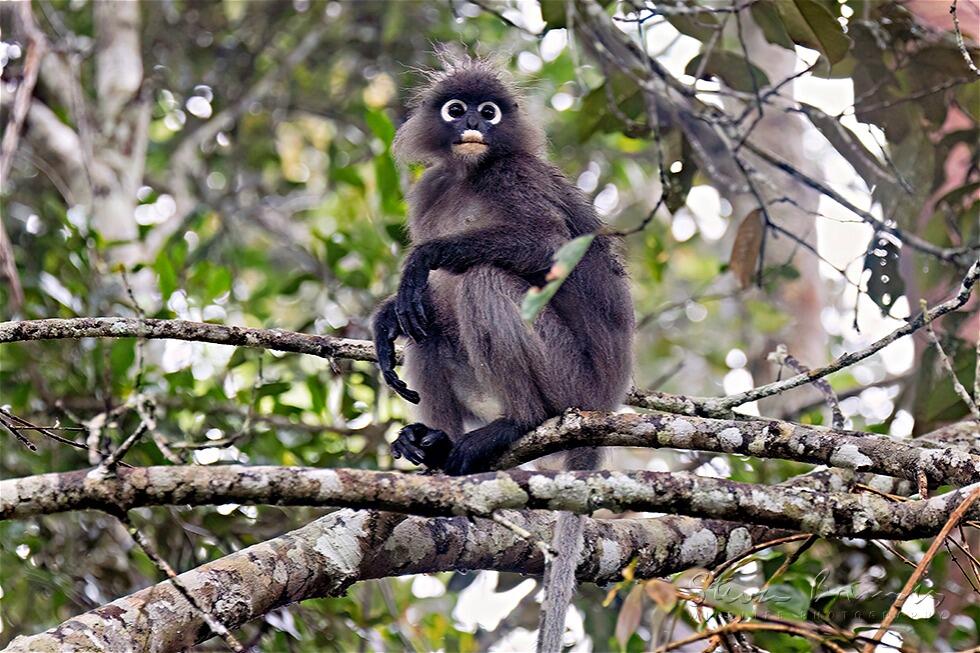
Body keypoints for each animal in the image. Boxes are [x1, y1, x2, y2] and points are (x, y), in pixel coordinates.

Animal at [371, 49, 633, 652]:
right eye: (456, 108)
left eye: (489, 111)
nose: (473, 123)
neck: (470, 175)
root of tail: (605, 403)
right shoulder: (431, 188)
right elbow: (413, 311)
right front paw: (387, 315)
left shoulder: (518, 175)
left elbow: (547, 246)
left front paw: (422, 260)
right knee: (428, 325)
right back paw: (435, 448)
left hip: (569, 378)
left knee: (482, 278)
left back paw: (517, 421)